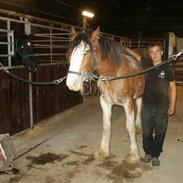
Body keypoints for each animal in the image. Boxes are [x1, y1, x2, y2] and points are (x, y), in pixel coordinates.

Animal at [66, 26, 144, 163]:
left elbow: (129, 126)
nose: (71, 83)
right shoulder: (105, 102)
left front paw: (134, 154)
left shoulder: (128, 102)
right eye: (70, 52)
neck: (115, 74)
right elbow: (106, 125)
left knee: (139, 107)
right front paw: (103, 151)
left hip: (139, 95)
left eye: (86, 52)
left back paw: (138, 126)